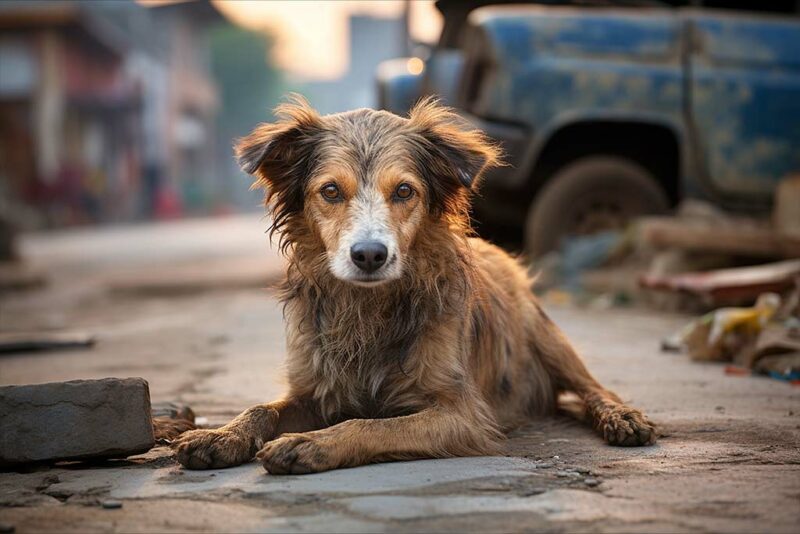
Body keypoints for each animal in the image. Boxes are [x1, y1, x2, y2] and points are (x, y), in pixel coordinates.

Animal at [172, 95, 652, 474]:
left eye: (404, 191)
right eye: (330, 191)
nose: (369, 255)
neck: (369, 307)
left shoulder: (463, 413)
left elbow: (371, 424)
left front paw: (310, 444)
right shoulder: (313, 390)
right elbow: (260, 409)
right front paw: (220, 435)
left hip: (546, 334)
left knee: (593, 388)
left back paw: (621, 417)